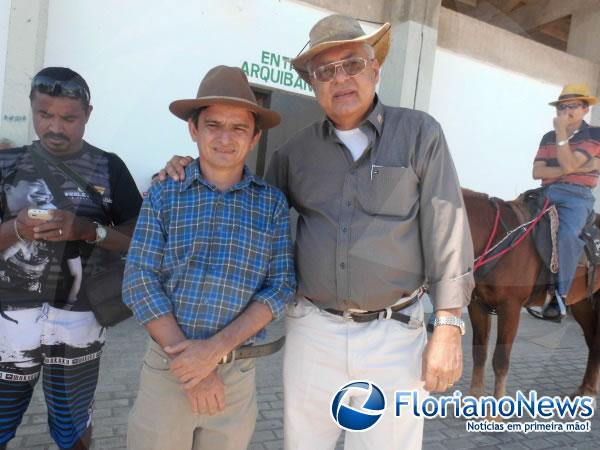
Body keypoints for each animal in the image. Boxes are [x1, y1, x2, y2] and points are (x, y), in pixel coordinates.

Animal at [460, 188, 600, 400]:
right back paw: (585, 389)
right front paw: (474, 398)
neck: (497, 239)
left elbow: (500, 361)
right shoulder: (477, 305)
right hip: (582, 303)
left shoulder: (510, 307)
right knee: (593, 340)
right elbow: (479, 353)